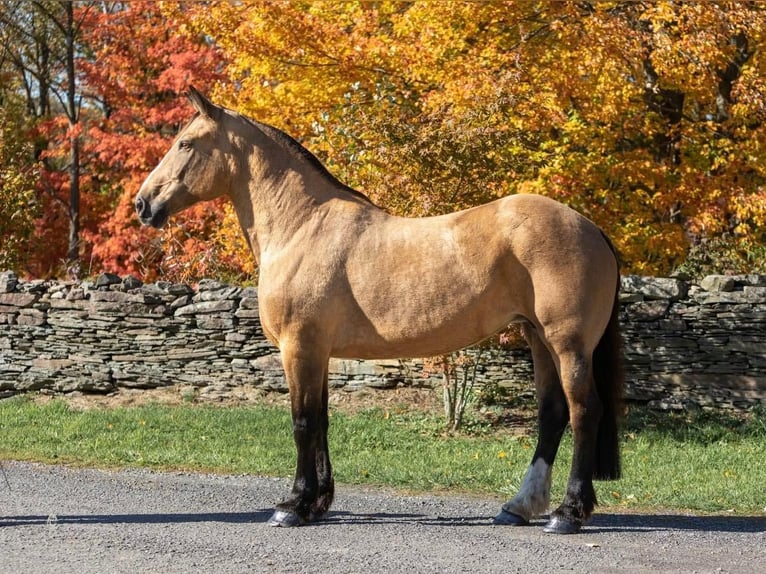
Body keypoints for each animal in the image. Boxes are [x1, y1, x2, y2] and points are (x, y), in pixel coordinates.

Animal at [135, 88, 624, 536]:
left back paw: (567, 514)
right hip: (537, 337)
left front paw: (293, 506)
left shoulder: (299, 347)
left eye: (185, 143)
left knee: (583, 412)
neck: (302, 226)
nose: (143, 204)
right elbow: (321, 421)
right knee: (552, 414)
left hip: (568, 344)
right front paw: (317, 502)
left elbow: (302, 422)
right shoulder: (318, 352)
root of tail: (591, 228)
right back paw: (520, 507)